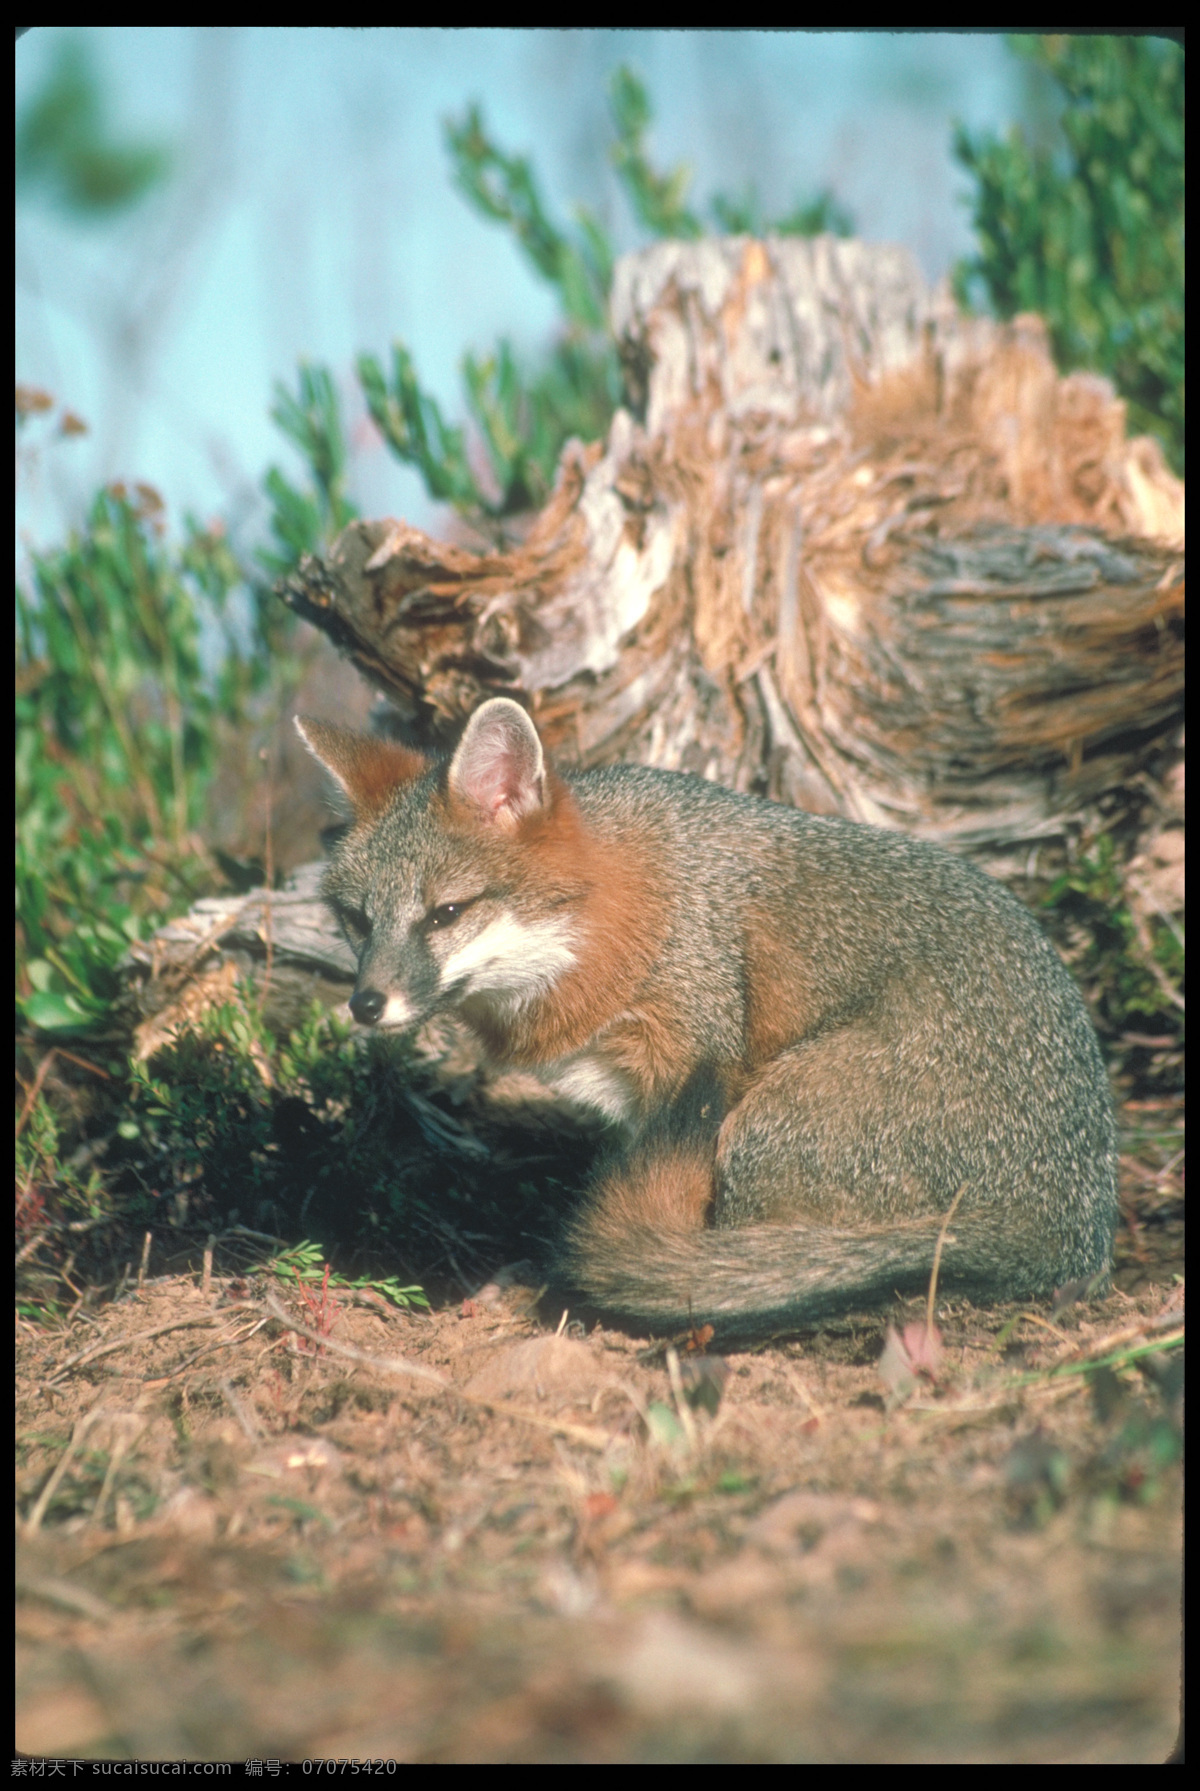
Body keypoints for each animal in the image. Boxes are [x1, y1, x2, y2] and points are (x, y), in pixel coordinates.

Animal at [299, 691, 1117, 1339]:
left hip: (761, 1126)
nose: (366, 1003)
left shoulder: (689, 1069)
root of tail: (1069, 1227)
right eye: (356, 920)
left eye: (446, 913)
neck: (616, 921)